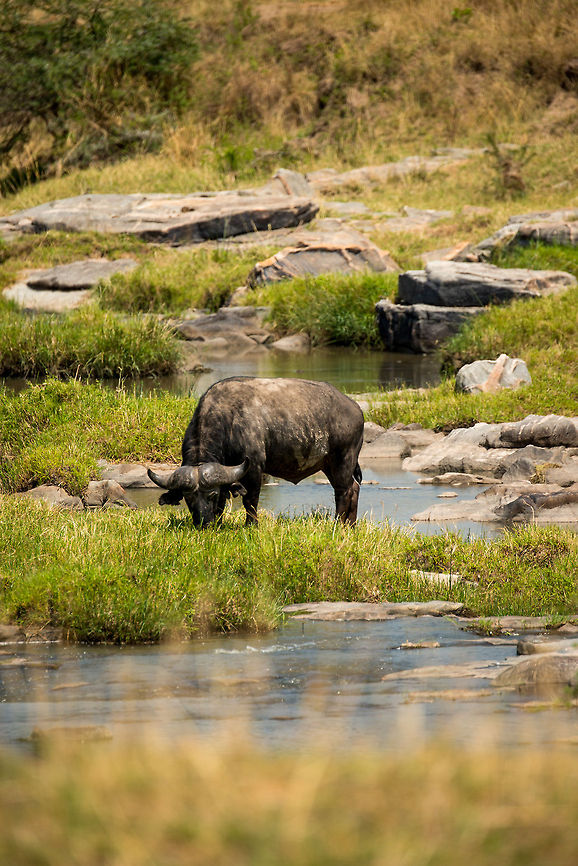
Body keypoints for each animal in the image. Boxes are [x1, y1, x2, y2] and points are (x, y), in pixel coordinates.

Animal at [148, 376, 364, 527]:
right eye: (188, 498)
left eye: (211, 495)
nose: (203, 523)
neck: (229, 420)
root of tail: (355, 408)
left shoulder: (253, 469)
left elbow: (250, 500)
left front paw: (251, 525)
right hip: (328, 464)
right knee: (353, 487)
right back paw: (350, 525)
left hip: (343, 459)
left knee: (344, 491)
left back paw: (338, 524)